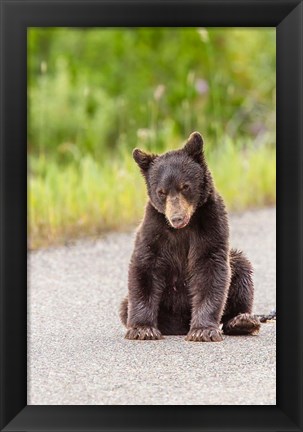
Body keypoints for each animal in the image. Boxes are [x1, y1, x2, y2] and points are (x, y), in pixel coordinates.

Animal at [120, 132, 260, 340]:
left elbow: (210, 267)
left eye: (185, 186)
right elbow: (144, 267)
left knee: (241, 270)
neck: (181, 229)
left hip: (236, 265)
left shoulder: (210, 225)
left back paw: (241, 321)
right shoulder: (154, 230)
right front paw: (142, 329)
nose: (176, 218)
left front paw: (203, 330)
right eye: (161, 192)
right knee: (125, 306)